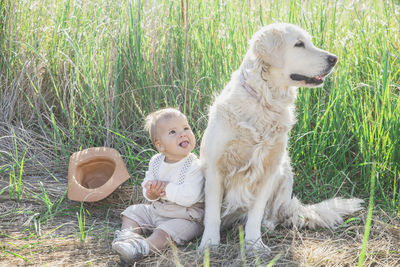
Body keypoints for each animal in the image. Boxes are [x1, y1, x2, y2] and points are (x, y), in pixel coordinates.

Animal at [198, 23, 364, 253]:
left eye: (310, 42)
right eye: (299, 44)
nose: (334, 59)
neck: (265, 102)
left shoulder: (269, 169)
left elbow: (256, 213)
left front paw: (254, 243)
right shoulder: (215, 167)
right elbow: (212, 213)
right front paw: (209, 243)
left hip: (285, 169)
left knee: (274, 214)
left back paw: (267, 225)